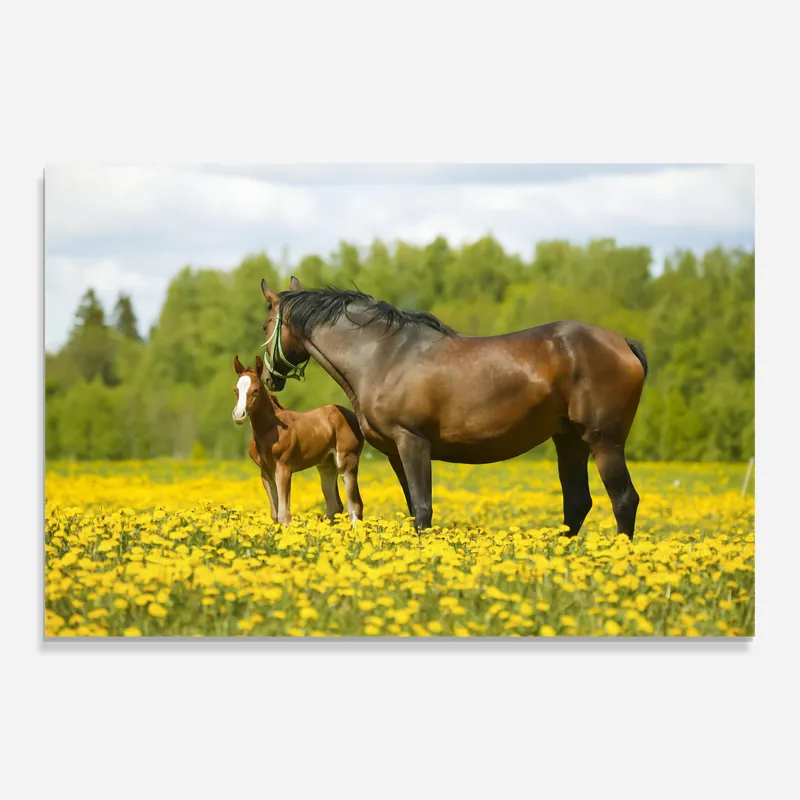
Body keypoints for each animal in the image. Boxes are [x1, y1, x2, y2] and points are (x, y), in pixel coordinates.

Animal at [231, 354, 365, 526]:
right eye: (235, 390)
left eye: (255, 390)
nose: (239, 415)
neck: (269, 429)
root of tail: (354, 417)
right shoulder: (265, 472)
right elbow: (275, 515)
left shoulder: (283, 468)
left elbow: (284, 516)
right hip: (326, 465)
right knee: (334, 506)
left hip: (347, 462)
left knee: (354, 506)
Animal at [258, 277, 648, 539]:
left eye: (264, 324)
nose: (267, 378)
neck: (383, 356)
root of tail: (623, 343)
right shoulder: (395, 453)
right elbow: (413, 509)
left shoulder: (413, 443)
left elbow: (423, 509)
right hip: (569, 440)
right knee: (577, 503)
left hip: (604, 441)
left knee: (624, 500)